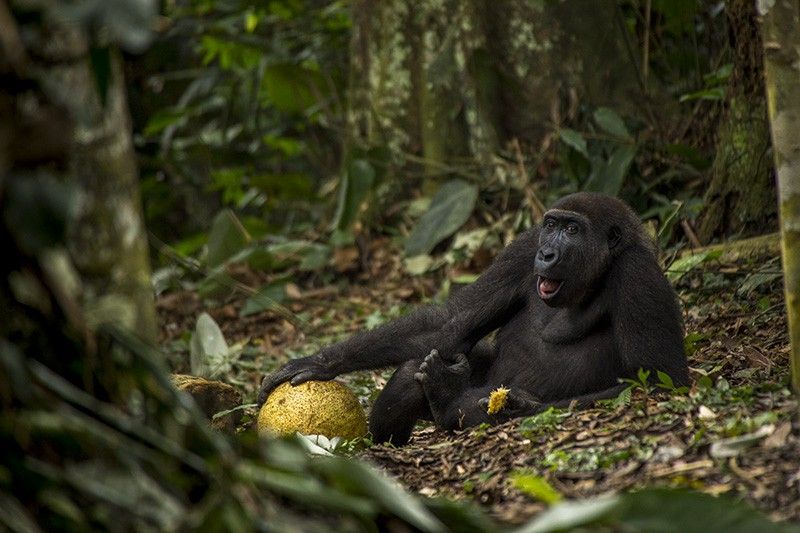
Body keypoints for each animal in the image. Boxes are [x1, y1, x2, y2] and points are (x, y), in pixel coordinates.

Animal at [258, 192, 688, 444]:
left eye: (572, 229)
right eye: (551, 225)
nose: (547, 253)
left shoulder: (637, 275)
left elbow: (658, 380)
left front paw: (520, 406)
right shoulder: (523, 247)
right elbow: (451, 322)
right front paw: (321, 362)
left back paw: (448, 399)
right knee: (419, 363)